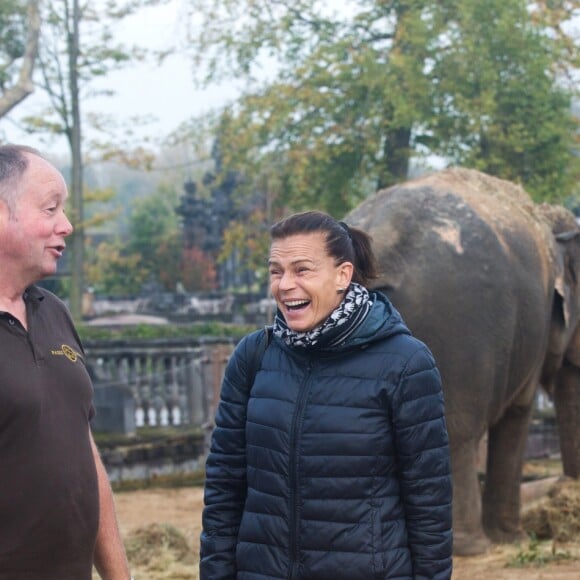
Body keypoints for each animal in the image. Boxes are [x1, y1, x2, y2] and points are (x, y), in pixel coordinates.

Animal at [344, 165, 580, 556]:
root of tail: (384, 242)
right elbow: (519, 412)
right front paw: (513, 539)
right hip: (460, 331)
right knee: (455, 432)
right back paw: (472, 548)